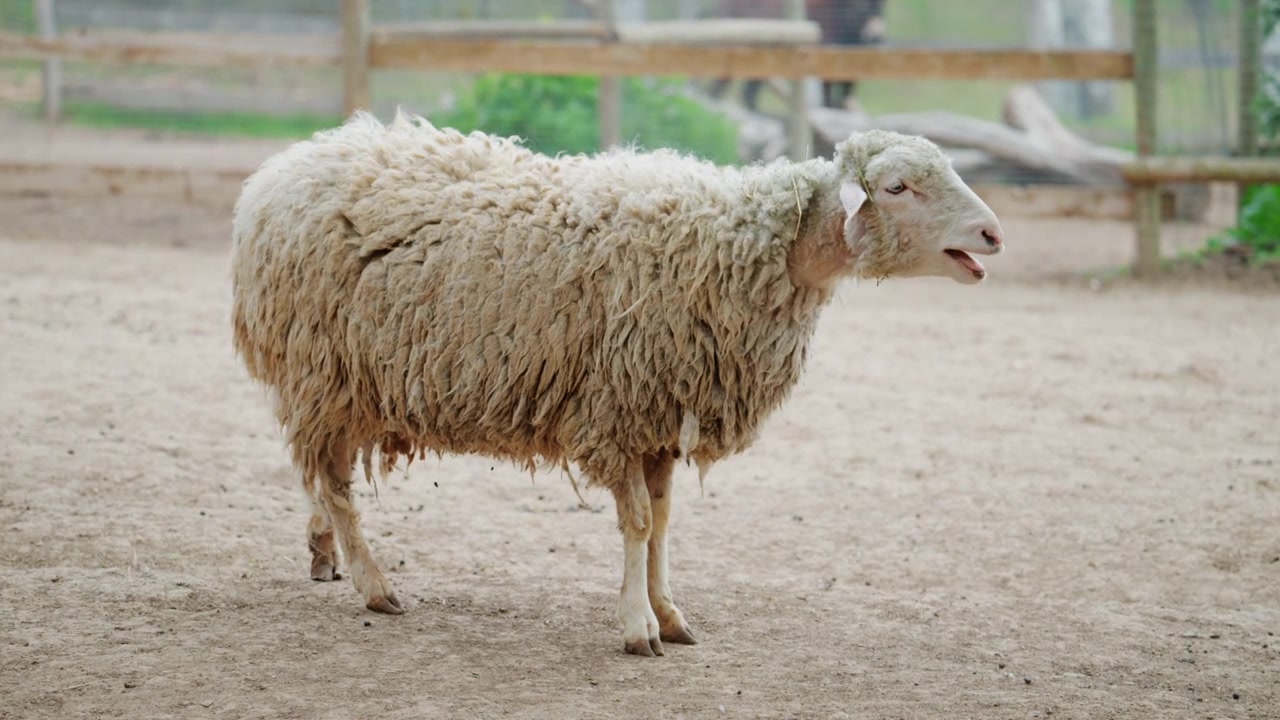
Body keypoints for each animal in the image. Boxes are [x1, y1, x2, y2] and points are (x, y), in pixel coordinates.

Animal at [229, 110, 1004, 657]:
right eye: (898, 188)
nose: (993, 235)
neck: (742, 249)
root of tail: (281, 170)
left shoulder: (662, 417)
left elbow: (660, 524)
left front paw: (671, 613)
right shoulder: (617, 413)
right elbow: (634, 524)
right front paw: (637, 627)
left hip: (342, 384)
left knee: (319, 477)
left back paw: (325, 554)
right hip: (323, 374)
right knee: (333, 484)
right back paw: (375, 585)